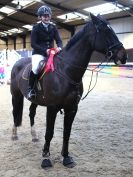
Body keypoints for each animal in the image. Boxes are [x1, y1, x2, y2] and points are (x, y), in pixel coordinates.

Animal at [10, 13, 127, 168]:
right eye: (105, 31)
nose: (123, 56)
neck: (66, 71)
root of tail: (17, 62)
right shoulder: (52, 107)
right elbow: (49, 132)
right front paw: (46, 159)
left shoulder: (72, 108)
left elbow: (67, 133)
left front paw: (66, 157)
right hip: (16, 95)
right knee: (15, 113)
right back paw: (14, 135)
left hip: (34, 100)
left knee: (31, 113)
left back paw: (34, 137)